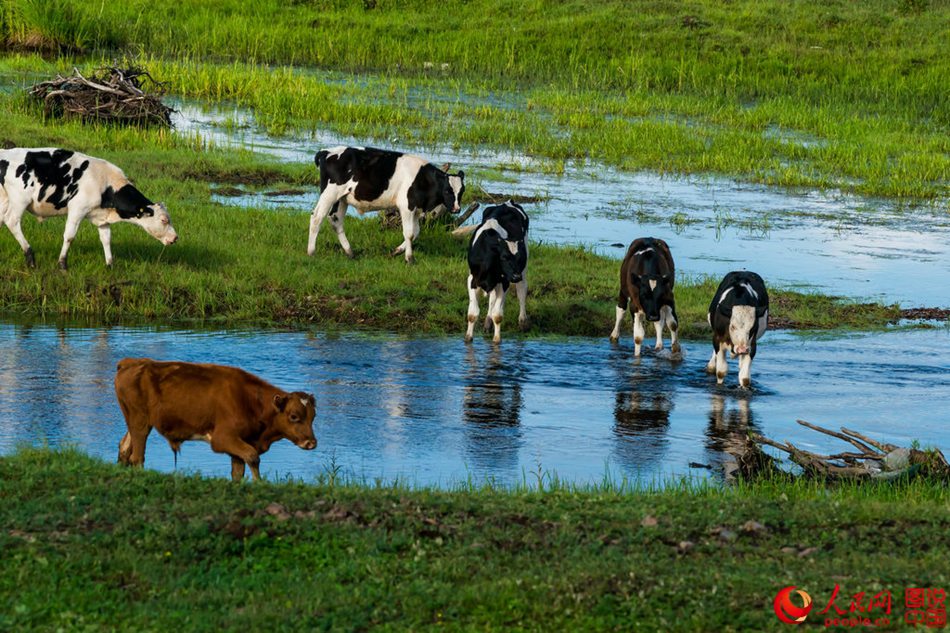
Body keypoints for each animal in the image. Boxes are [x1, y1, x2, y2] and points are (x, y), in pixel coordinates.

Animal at [0, 148, 178, 270]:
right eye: (164, 220)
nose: (175, 238)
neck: (106, 184)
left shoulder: (102, 218)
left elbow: (106, 239)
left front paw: (110, 264)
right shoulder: (77, 208)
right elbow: (69, 236)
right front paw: (62, 264)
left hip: (5, 200)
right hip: (20, 199)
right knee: (12, 221)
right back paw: (30, 257)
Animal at [116, 358, 318, 482]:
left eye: (313, 416)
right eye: (294, 416)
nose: (311, 443)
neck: (250, 401)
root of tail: (132, 362)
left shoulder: (239, 445)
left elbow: (238, 471)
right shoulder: (223, 439)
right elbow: (253, 457)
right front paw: (260, 483)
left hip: (135, 422)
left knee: (125, 447)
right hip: (140, 422)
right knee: (137, 456)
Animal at [306, 146, 466, 262]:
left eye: (462, 190)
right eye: (447, 191)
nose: (457, 209)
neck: (422, 179)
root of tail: (327, 151)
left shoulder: (415, 208)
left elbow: (415, 232)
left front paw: (397, 251)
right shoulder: (406, 206)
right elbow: (409, 233)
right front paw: (410, 258)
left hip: (342, 198)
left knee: (336, 220)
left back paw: (350, 252)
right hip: (330, 193)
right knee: (317, 217)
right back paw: (311, 252)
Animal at [466, 200, 532, 344]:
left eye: (519, 258)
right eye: (503, 257)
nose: (516, 276)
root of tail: (508, 202)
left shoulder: (504, 280)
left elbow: (498, 315)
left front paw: (496, 340)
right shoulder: (472, 279)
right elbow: (473, 313)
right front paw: (468, 338)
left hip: (522, 271)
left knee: (521, 291)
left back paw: (523, 321)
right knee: (492, 298)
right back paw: (488, 322)